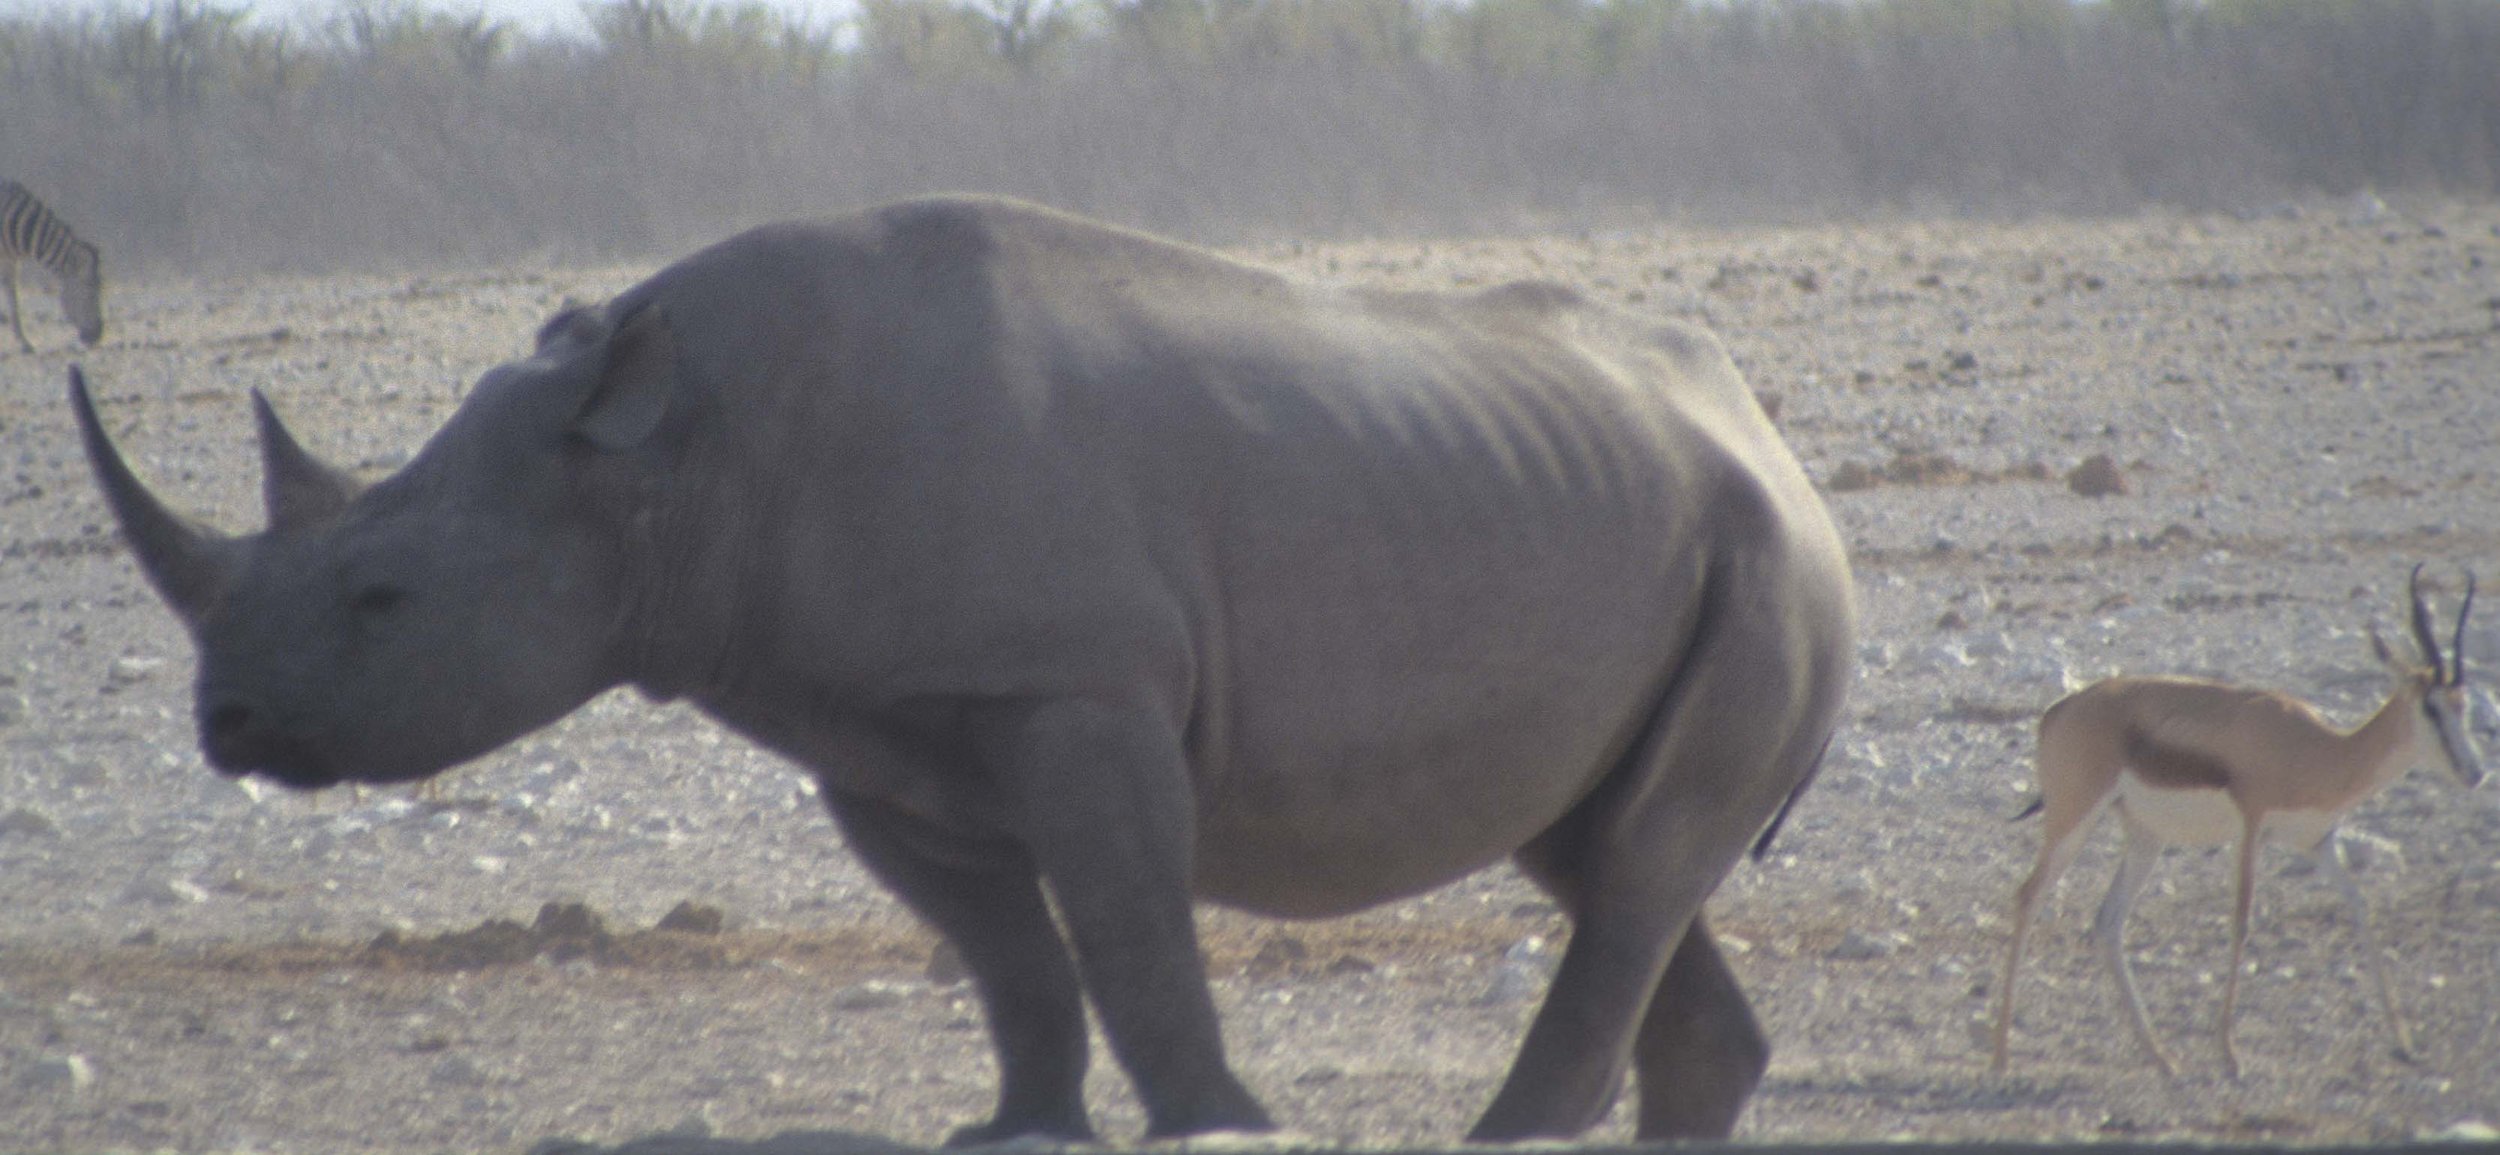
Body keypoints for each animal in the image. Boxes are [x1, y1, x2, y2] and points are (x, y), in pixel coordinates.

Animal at [72, 196, 1853, 1144]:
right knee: (1599, 849)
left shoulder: (1075, 685)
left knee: (1632, 860)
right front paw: (1017, 1124)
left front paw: (1217, 1116)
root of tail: (1762, 423)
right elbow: (1006, 948)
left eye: (380, 595)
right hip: (1647, 521)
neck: (665, 459)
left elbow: (1126, 922)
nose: (225, 723)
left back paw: (1509, 1131)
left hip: (1769, 555)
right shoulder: (876, 726)